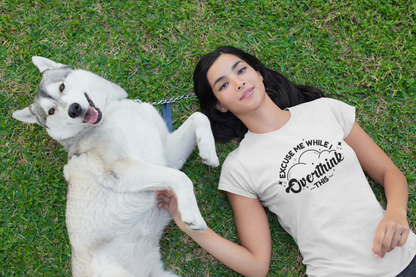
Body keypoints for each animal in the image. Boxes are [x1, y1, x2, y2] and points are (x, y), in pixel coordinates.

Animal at [11, 56, 219, 276]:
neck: (110, 109)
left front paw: (209, 151)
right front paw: (191, 214)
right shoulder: (121, 168)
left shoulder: (167, 156)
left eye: (62, 86)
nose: (73, 109)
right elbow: (182, 178)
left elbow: (199, 116)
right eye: (51, 111)